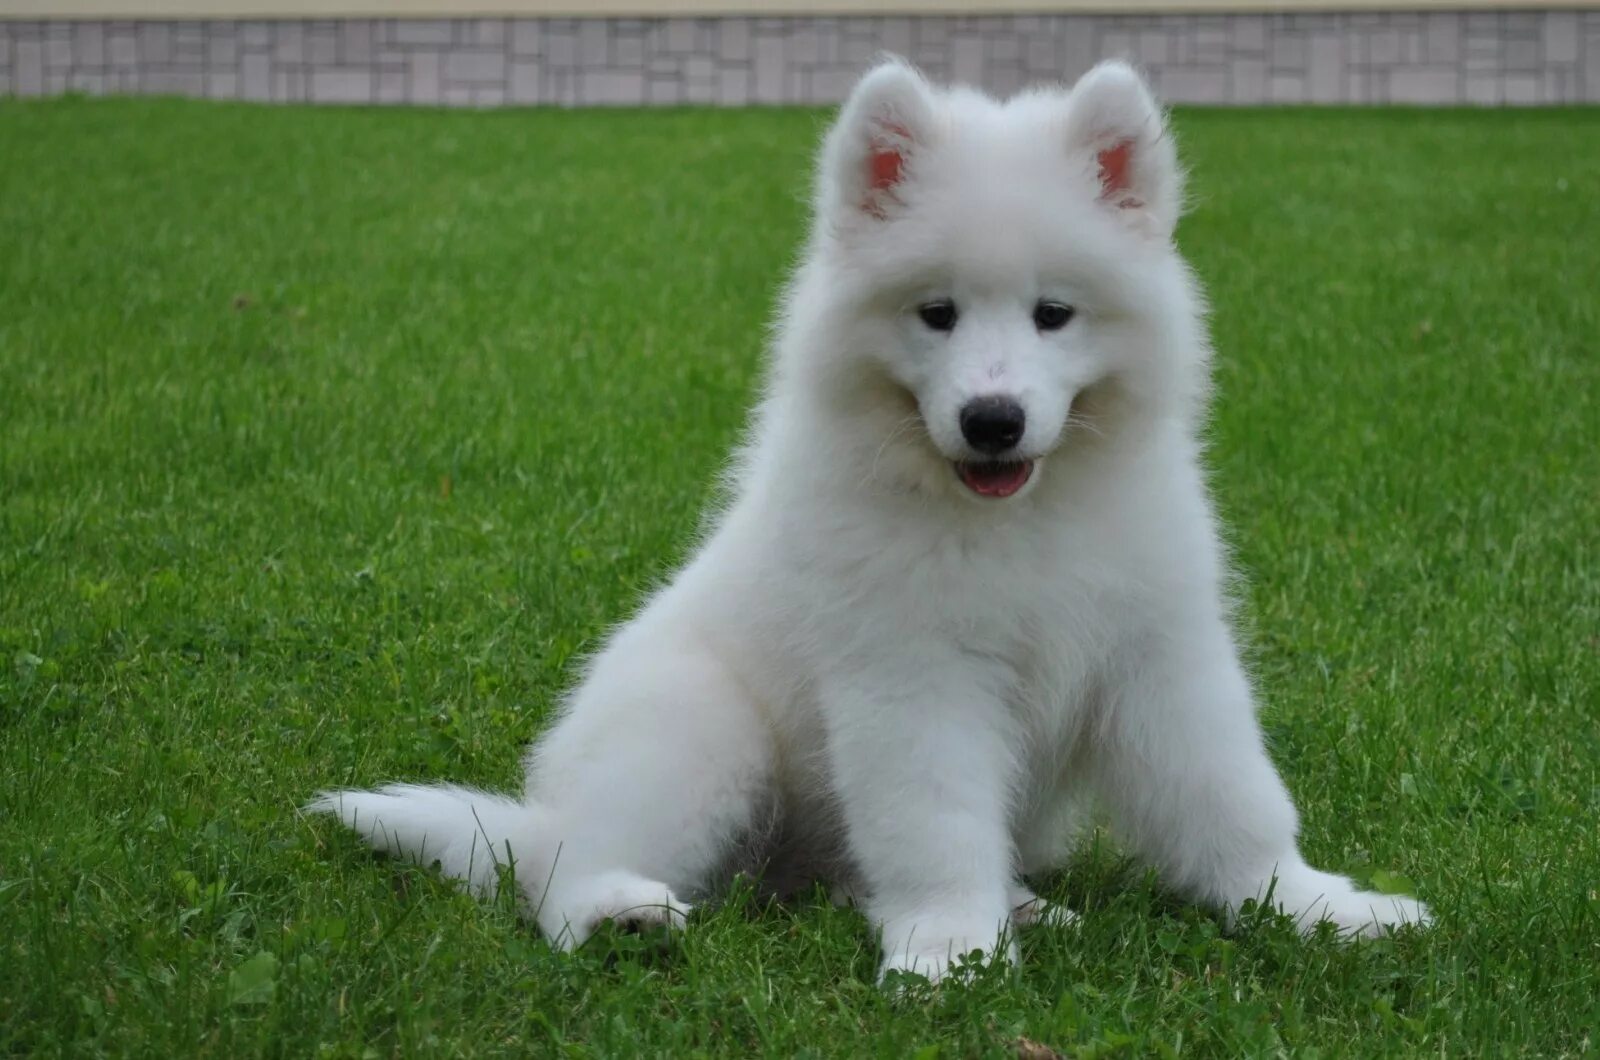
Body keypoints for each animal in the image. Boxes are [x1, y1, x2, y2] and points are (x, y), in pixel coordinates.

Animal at [305, 58, 1433, 986]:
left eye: (1053, 314)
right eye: (935, 313)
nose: (992, 420)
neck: (1015, 521)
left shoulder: (1158, 659)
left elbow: (1233, 801)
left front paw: (1315, 909)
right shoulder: (913, 677)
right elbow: (934, 827)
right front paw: (951, 951)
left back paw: (1027, 906)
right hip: (698, 732)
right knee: (565, 870)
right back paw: (619, 914)